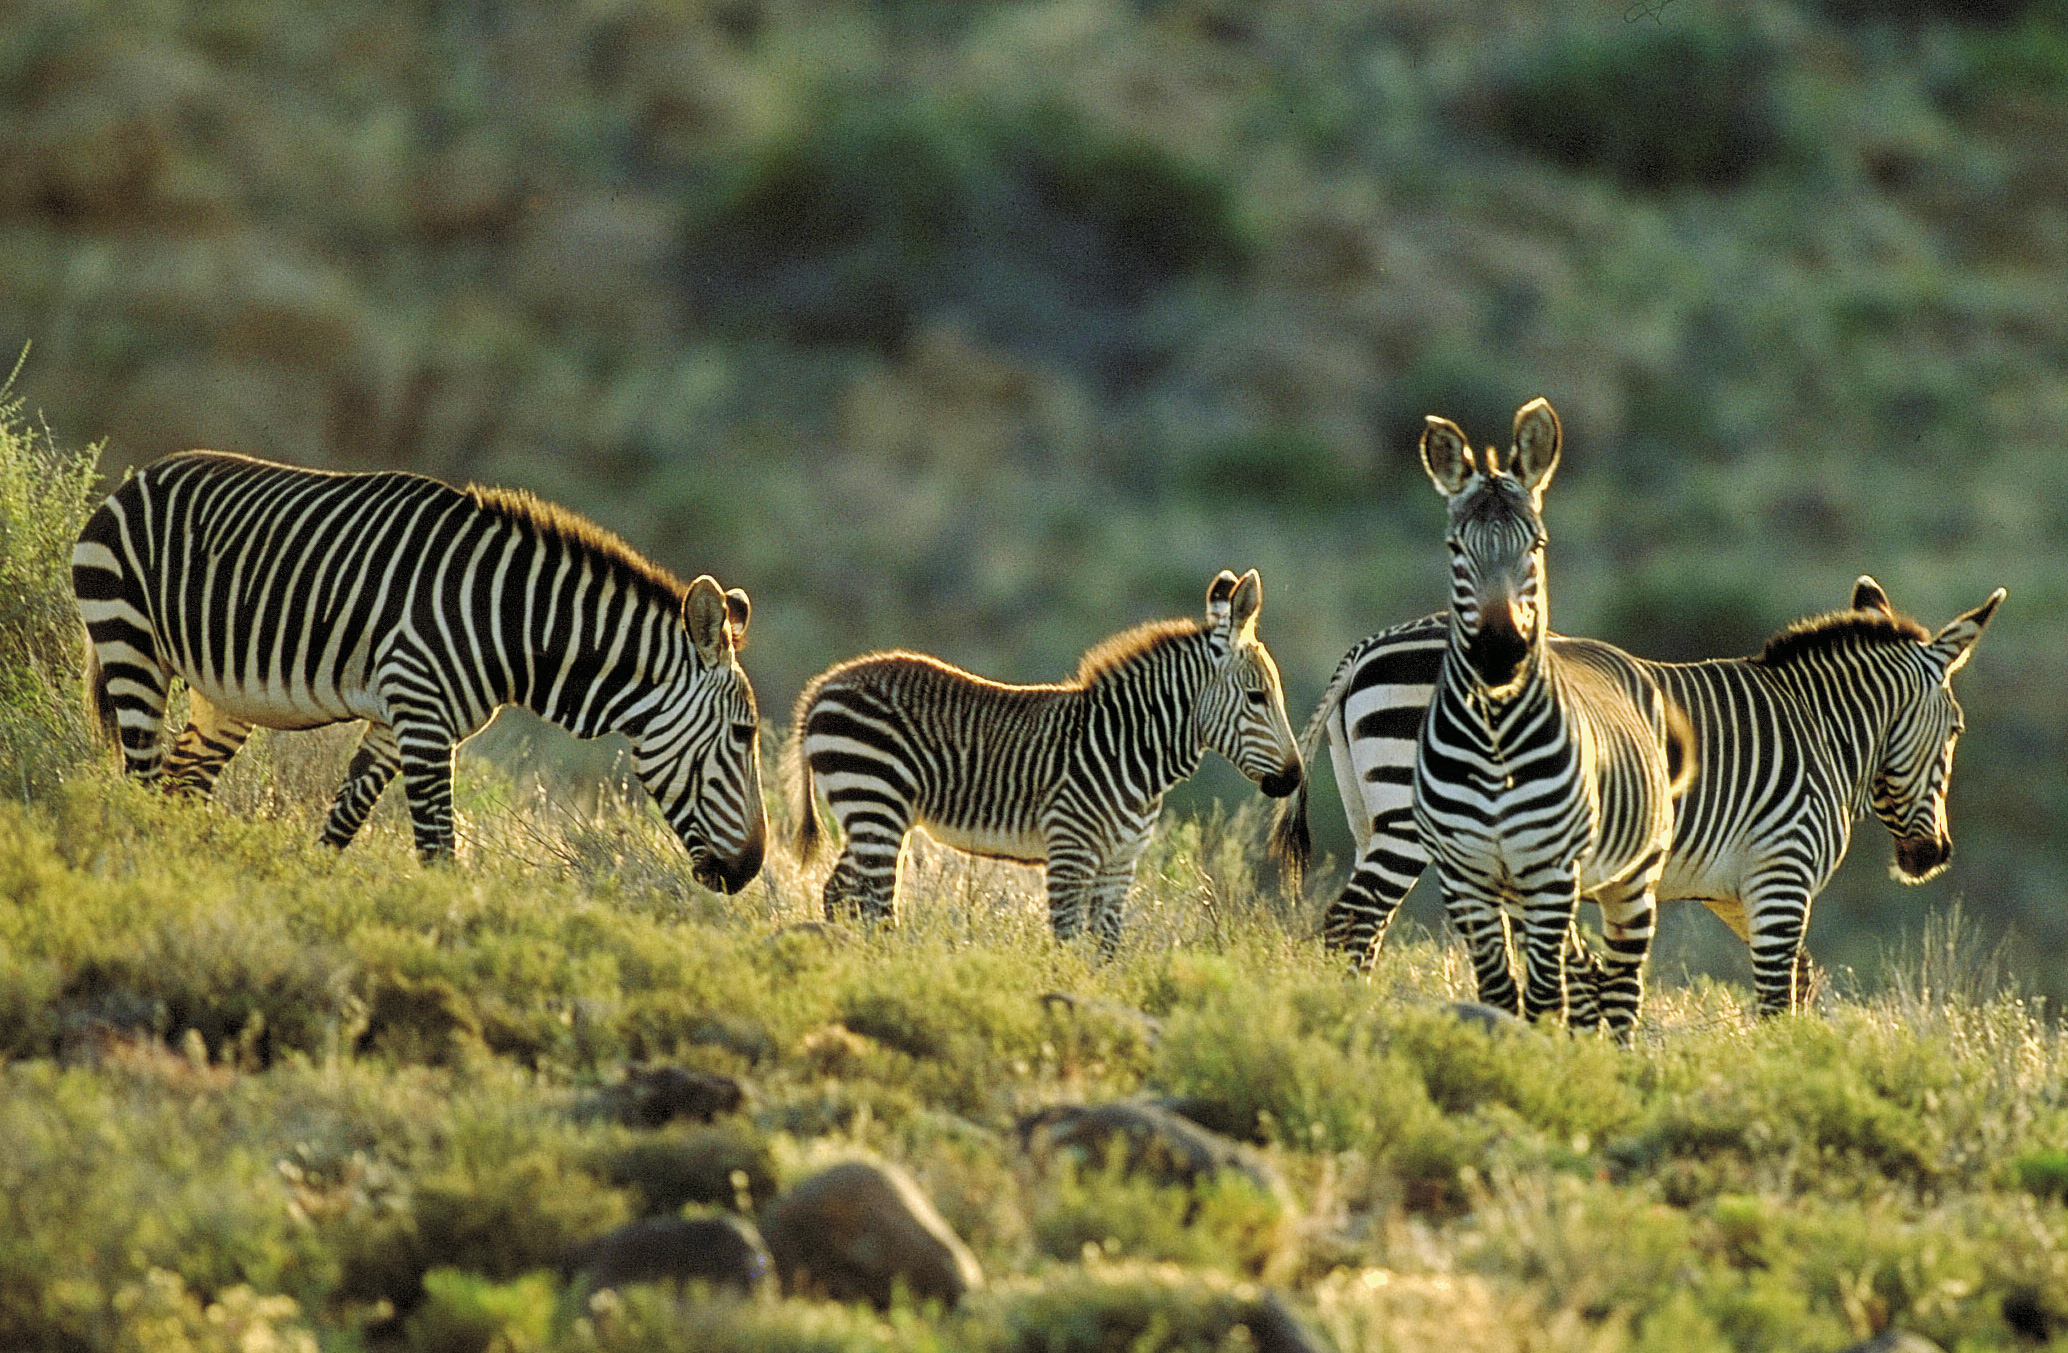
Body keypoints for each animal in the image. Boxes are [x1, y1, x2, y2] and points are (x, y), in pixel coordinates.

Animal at [72, 453, 773, 889]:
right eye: (744, 736)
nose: (751, 871)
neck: (509, 620)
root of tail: (136, 479)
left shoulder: (399, 722)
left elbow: (343, 822)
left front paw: (316, 893)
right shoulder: (423, 715)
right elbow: (437, 851)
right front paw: (448, 935)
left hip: (220, 698)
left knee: (179, 786)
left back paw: (179, 869)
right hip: (130, 642)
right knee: (140, 779)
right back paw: (141, 872)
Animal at [794, 570, 1306, 955]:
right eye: (1258, 697)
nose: (1295, 778)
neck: (1130, 751)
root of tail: (823, 685)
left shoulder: (1120, 865)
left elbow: (1106, 953)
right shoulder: (1070, 853)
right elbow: (1069, 945)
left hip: (870, 812)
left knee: (839, 893)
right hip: (875, 802)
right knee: (876, 908)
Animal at [1265, 570, 1993, 1017]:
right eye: (1958, 729)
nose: (1934, 856)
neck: (1822, 728)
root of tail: (1369, 647)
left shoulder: (1730, 890)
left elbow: (1801, 980)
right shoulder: (1782, 872)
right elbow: (1778, 994)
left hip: (1374, 816)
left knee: (1362, 928)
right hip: (1413, 825)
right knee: (1352, 924)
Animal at [1381, 397, 1687, 1034]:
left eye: (1537, 546)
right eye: (1456, 549)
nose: (1500, 654)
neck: (1495, 738)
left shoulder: (1550, 870)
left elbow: (1546, 998)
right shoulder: (1465, 873)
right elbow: (1500, 991)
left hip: (1630, 878)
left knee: (1622, 988)